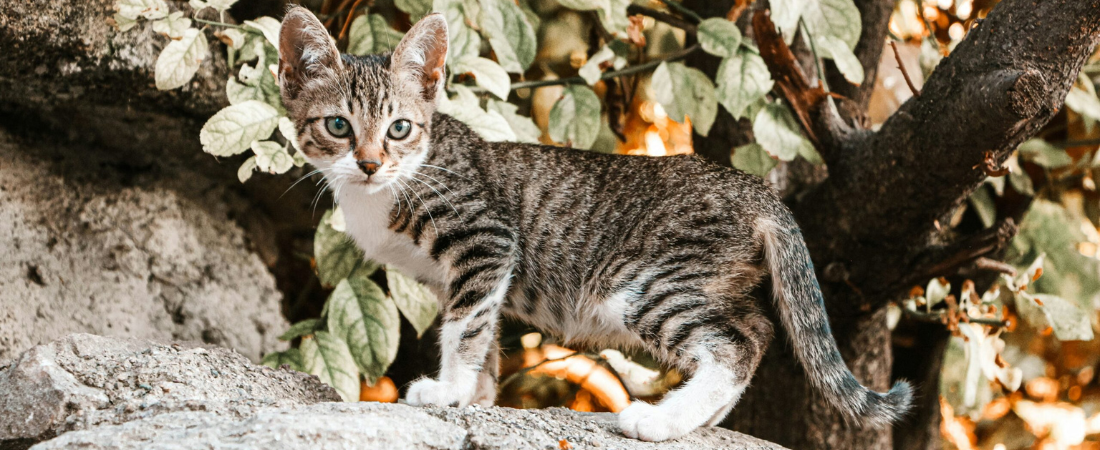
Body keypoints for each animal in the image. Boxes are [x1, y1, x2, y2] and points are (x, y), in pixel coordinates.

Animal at [279, 7, 915, 440]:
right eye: (338, 126)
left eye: (399, 129)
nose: (369, 163)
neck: (391, 187)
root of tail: (755, 188)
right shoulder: (463, 273)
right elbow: (483, 330)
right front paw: (477, 397)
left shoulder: (485, 240)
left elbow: (466, 326)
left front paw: (448, 390)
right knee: (756, 329)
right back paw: (699, 421)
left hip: (645, 283)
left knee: (737, 343)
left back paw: (661, 422)